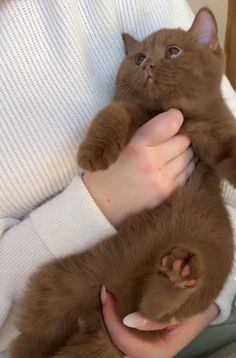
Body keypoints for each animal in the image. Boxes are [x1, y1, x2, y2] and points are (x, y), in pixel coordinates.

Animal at [10, 7, 234, 358]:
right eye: (139, 57)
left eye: (173, 51)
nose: (149, 65)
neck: (176, 113)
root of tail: (100, 314)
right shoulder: (133, 109)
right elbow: (113, 114)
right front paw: (93, 154)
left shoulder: (216, 132)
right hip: (56, 289)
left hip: (213, 256)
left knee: (154, 310)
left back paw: (177, 272)